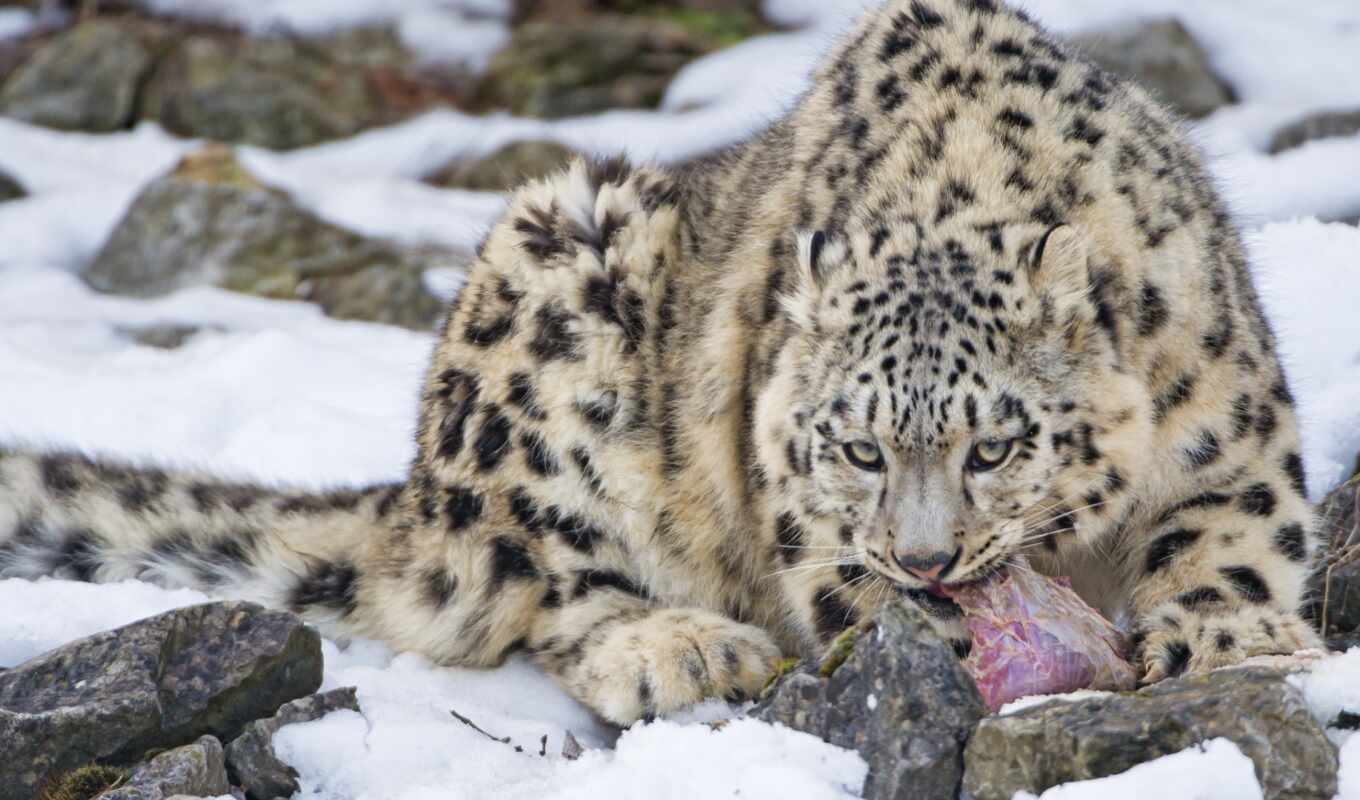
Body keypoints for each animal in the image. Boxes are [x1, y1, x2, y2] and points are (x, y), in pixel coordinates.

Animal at [0, 0, 1321, 723]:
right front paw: (931, 636)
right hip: (551, 291)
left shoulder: (1232, 412)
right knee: (544, 591)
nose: (927, 557)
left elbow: (1237, 524)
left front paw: (1220, 632)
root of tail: (423, 491)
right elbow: (840, 585)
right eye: (855, 446)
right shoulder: (802, 514)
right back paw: (677, 643)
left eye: (994, 443)